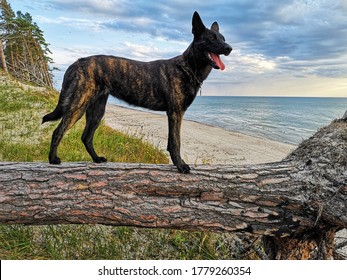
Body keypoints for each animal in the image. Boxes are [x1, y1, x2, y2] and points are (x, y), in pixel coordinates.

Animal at [44, 12, 234, 173]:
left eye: (223, 38)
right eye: (211, 38)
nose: (229, 48)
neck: (188, 67)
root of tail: (76, 62)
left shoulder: (175, 114)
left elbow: (172, 142)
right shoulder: (175, 113)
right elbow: (175, 142)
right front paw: (180, 165)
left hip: (97, 109)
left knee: (86, 137)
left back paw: (96, 159)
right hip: (78, 104)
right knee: (58, 131)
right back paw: (52, 159)